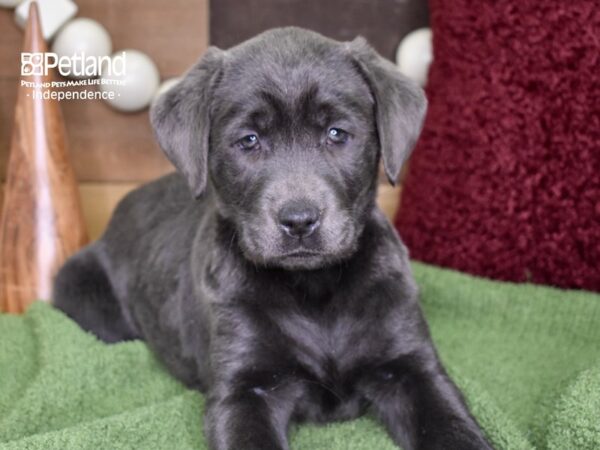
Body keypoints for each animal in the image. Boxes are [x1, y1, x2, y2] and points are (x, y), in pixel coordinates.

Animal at [52, 27, 492, 450]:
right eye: (249, 140)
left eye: (337, 133)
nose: (299, 220)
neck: (315, 289)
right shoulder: (244, 388)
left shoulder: (411, 366)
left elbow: (453, 428)